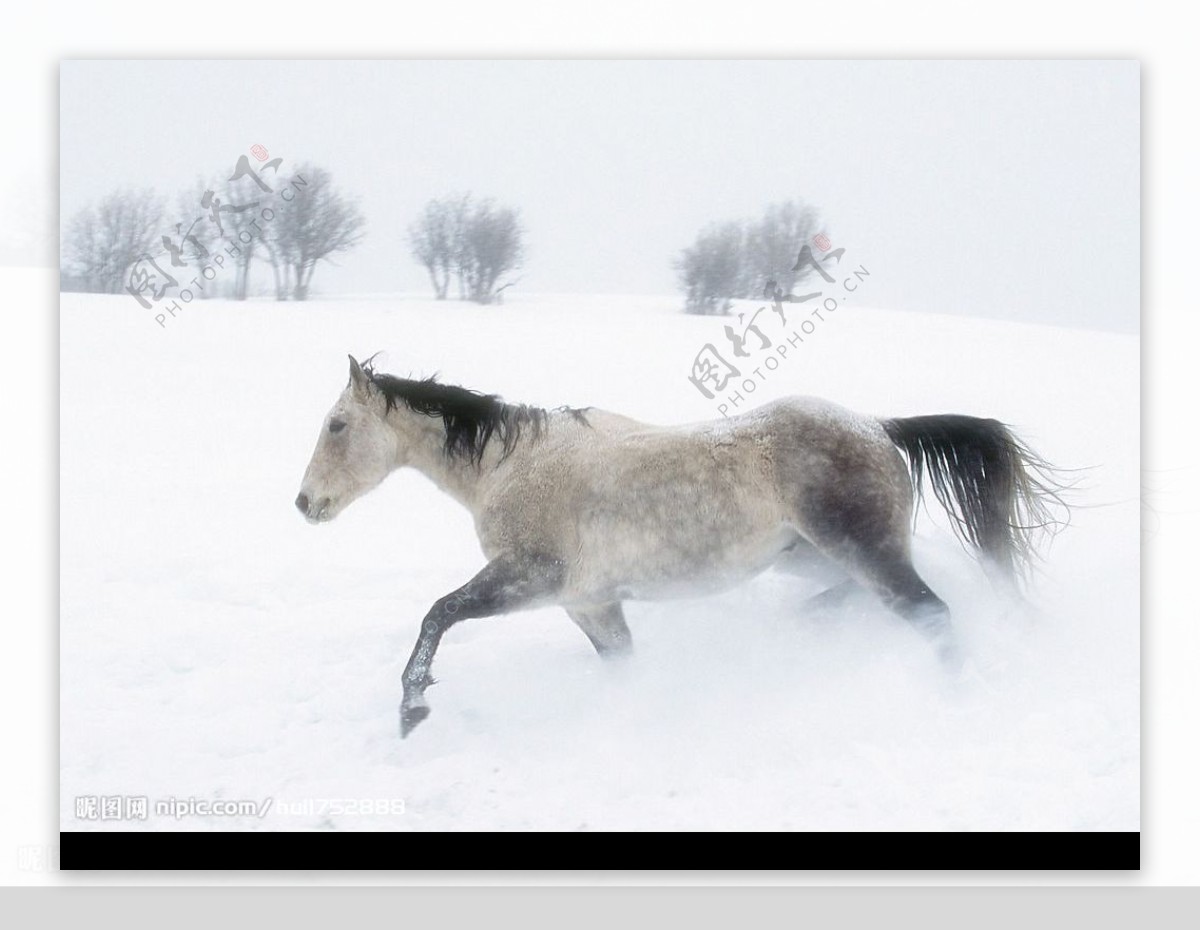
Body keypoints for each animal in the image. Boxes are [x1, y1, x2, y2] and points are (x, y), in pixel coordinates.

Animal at [295, 355, 1065, 734]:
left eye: (337, 424)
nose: (305, 503)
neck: (513, 465)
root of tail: (877, 427)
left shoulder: (531, 577)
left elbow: (438, 614)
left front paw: (411, 710)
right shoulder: (590, 603)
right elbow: (622, 666)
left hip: (863, 549)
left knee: (931, 615)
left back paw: (954, 700)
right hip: (811, 556)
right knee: (861, 596)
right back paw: (804, 628)